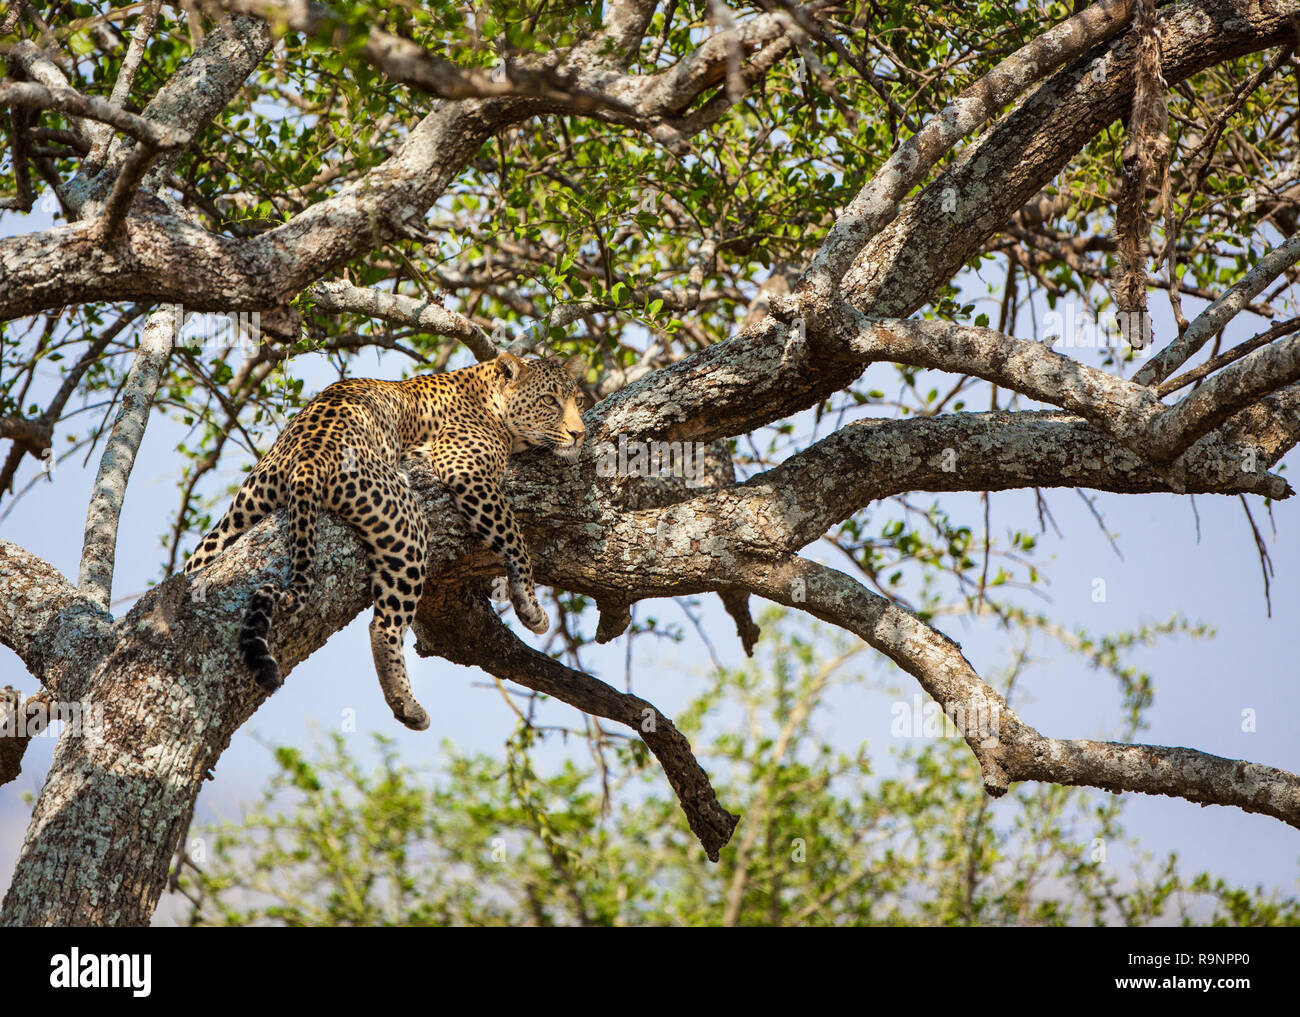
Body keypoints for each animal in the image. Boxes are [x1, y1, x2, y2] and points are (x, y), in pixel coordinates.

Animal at [182, 353, 585, 733]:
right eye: (549, 400)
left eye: (578, 400)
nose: (579, 434)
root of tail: (309, 456)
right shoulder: (467, 470)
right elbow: (515, 537)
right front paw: (530, 606)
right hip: (407, 523)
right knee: (384, 625)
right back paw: (407, 706)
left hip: (240, 514)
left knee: (196, 563)